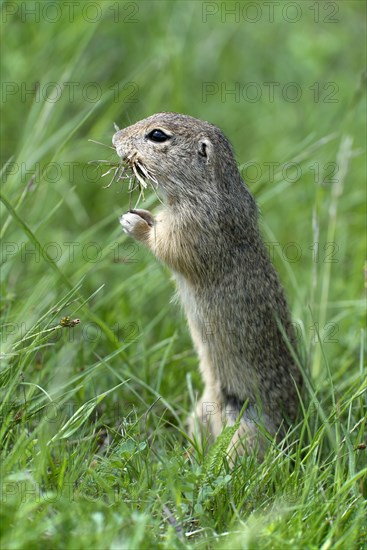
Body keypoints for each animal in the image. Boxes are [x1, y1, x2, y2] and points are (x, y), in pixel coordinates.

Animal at [113, 112, 304, 458]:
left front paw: (133, 222)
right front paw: (140, 213)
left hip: (248, 429)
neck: (206, 188)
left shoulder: (193, 226)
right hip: (200, 411)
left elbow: (166, 245)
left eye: (157, 135)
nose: (115, 138)